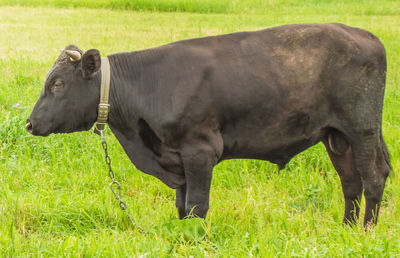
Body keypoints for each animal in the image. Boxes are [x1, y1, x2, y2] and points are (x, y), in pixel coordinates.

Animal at [25, 23, 390, 226]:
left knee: (373, 177)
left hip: (362, 129)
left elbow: (197, 206)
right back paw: (346, 227)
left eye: (57, 84)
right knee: (350, 183)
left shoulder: (199, 151)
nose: (29, 124)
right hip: (336, 136)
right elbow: (182, 206)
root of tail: (364, 34)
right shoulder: (176, 157)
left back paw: (366, 230)